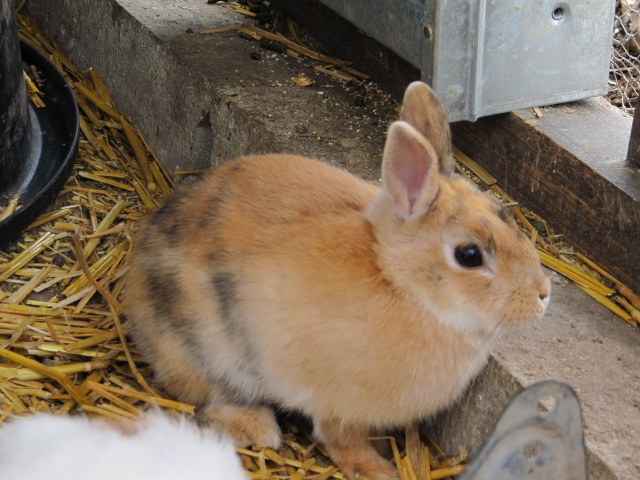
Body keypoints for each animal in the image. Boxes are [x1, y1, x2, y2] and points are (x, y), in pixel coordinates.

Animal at [125, 81, 552, 480]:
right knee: (210, 396)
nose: (543, 294)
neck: (398, 281)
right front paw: (377, 468)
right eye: (469, 255)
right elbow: (340, 438)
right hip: (209, 350)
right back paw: (259, 428)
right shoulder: (336, 404)